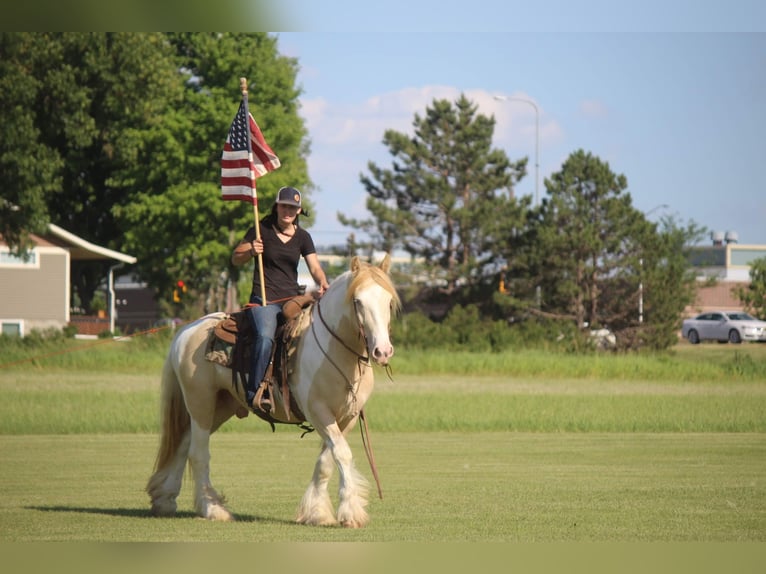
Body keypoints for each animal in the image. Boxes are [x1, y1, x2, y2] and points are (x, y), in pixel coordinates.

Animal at [147, 256, 404, 532]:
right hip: (200, 403)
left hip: (220, 406)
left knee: (183, 444)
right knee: (198, 453)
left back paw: (165, 499)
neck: (336, 351)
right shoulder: (319, 412)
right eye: (357, 301)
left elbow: (326, 461)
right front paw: (350, 513)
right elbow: (342, 454)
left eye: (388, 301)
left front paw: (316, 513)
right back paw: (212, 509)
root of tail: (185, 331)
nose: (382, 351)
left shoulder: (347, 417)